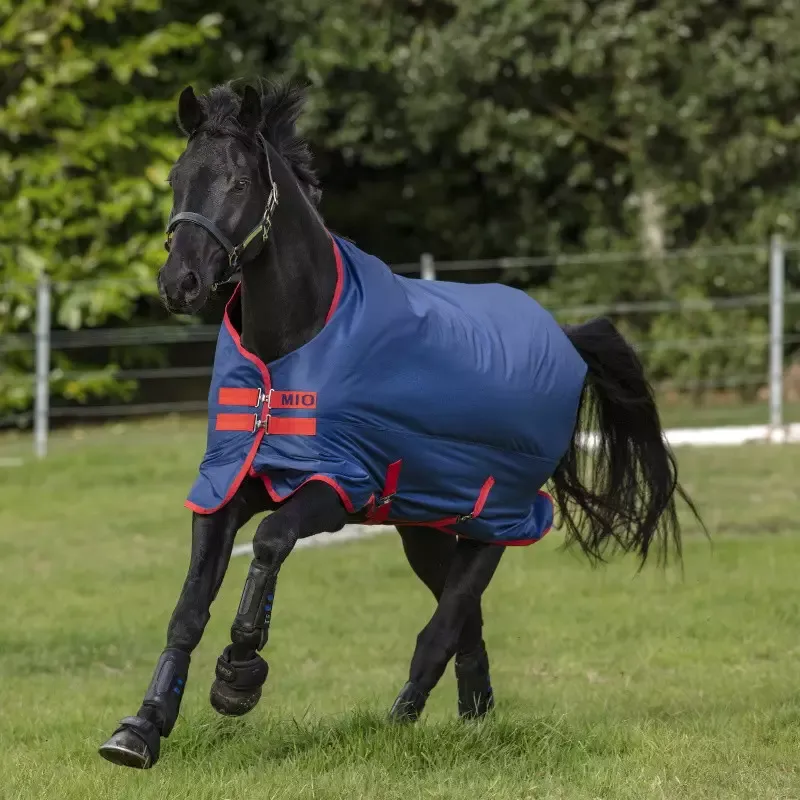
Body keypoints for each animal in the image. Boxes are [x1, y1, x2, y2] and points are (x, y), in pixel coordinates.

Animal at [98, 80, 702, 769]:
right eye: (178, 178)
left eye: (238, 182)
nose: (181, 283)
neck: (294, 346)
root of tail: (566, 339)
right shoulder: (229, 483)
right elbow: (189, 606)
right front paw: (141, 728)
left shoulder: (337, 487)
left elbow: (273, 542)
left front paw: (238, 678)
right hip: (426, 526)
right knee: (466, 621)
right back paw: (474, 718)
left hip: (497, 520)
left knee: (445, 625)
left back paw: (402, 720)